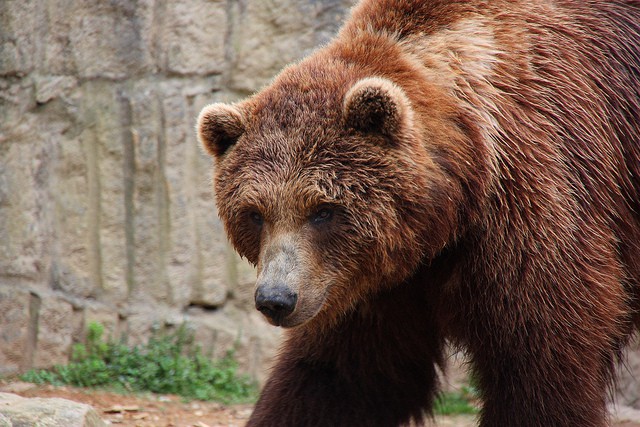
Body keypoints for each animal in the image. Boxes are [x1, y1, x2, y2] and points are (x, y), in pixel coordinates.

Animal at [198, 0, 636, 427]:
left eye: (323, 210)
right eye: (255, 213)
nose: (276, 299)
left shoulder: (530, 206)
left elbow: (541, 361)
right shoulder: (364, 285)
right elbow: (340, 376)